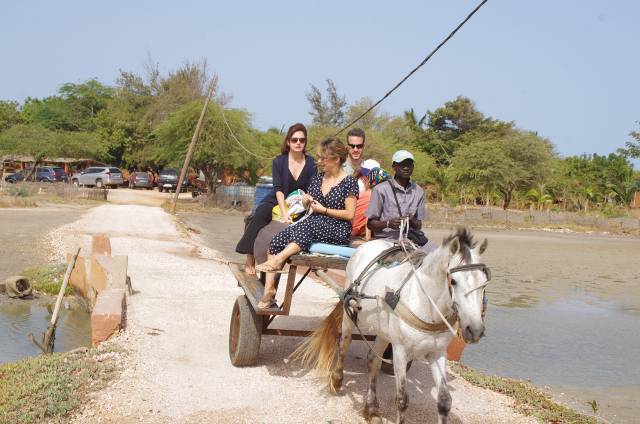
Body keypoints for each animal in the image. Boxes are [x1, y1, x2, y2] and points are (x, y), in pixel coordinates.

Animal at [296, 229, 490, 424]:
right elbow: (402, 399)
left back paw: (372, 409)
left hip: (383, 331)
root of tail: (367, 245)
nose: (475, 330)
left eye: (485, 282)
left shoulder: (437, 352)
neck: (426, 305)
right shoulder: (400, 351)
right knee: (344, 344)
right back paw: (337, 381)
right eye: (454, 281)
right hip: (349, 313)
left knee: (373, 361)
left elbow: (444, 400)